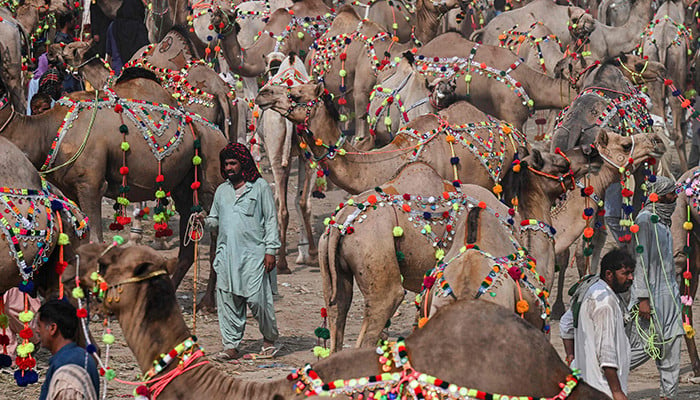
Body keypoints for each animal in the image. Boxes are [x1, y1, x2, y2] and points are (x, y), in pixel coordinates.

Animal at [0, 73, 227, 290]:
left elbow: (95, 241)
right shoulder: (71, 189)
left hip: (212, 172)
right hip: (185, 187)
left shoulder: (90, 184)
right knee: (188, 240)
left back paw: (207, 300)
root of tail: (221, 134)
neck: (49, 132)